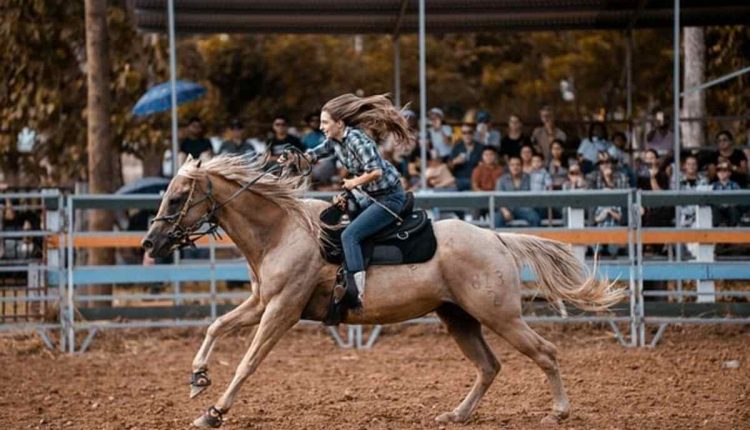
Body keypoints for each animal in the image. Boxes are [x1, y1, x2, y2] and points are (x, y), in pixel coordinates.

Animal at [141, 155, 624, 428]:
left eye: (177, 196)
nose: (150, 242)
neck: (282, 231)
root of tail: (496, 238)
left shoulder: (282, 309)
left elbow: (247, 362)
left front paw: (214, 412)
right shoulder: (262, 301)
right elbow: (216, 327)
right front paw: (197, 379)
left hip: (499, 316)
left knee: (545, 352)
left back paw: (558, 412)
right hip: (458, 317)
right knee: (489, 366)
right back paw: (456, 415)